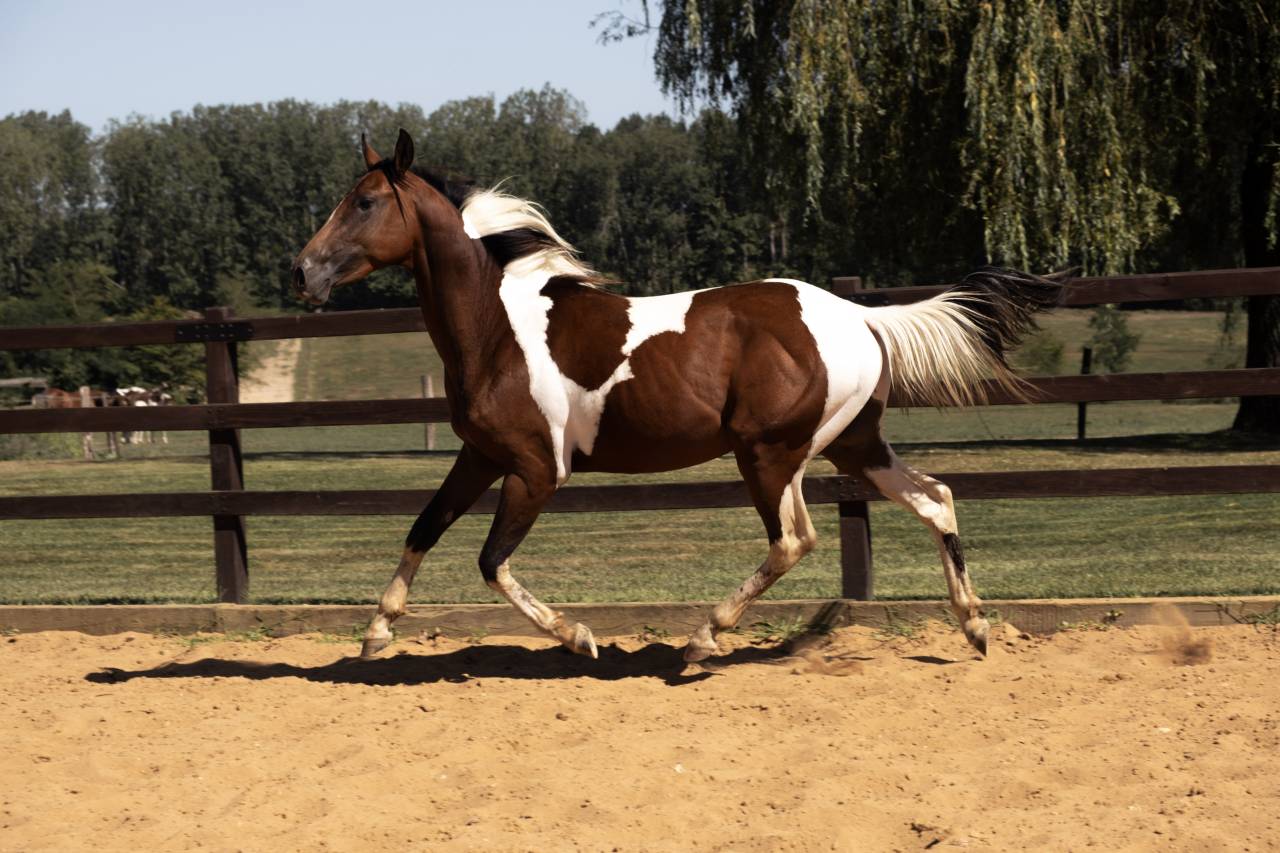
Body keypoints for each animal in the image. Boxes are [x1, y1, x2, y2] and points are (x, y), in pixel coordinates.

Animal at [292, 130, 1062, 663]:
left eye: (364, 202)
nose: (302, 272)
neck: (497, 328)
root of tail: (861, 317)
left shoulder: (537, 470)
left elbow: (490, 562)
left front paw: (578, 635)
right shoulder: (480, 455)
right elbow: (424, 526)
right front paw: (375, 631)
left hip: (771, 453)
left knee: (794, 538)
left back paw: (702, 639)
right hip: (853, 444)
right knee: (934, 497)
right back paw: (975, 627)